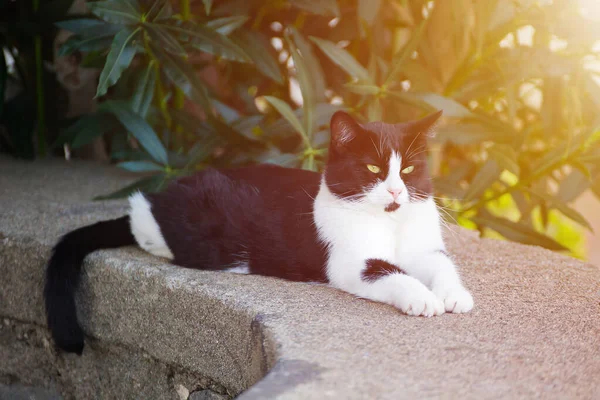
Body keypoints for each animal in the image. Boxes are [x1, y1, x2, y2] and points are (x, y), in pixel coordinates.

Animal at [43, 109, 474, 354]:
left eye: (408, 170)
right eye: (372, 168)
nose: (397, 191)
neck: (390, 222)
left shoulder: (425, 248)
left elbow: (442, 264)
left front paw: (453, 295)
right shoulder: (350, 262)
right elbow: (390, 271)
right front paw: (422, 298)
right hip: (183, 228)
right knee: (140, 215)